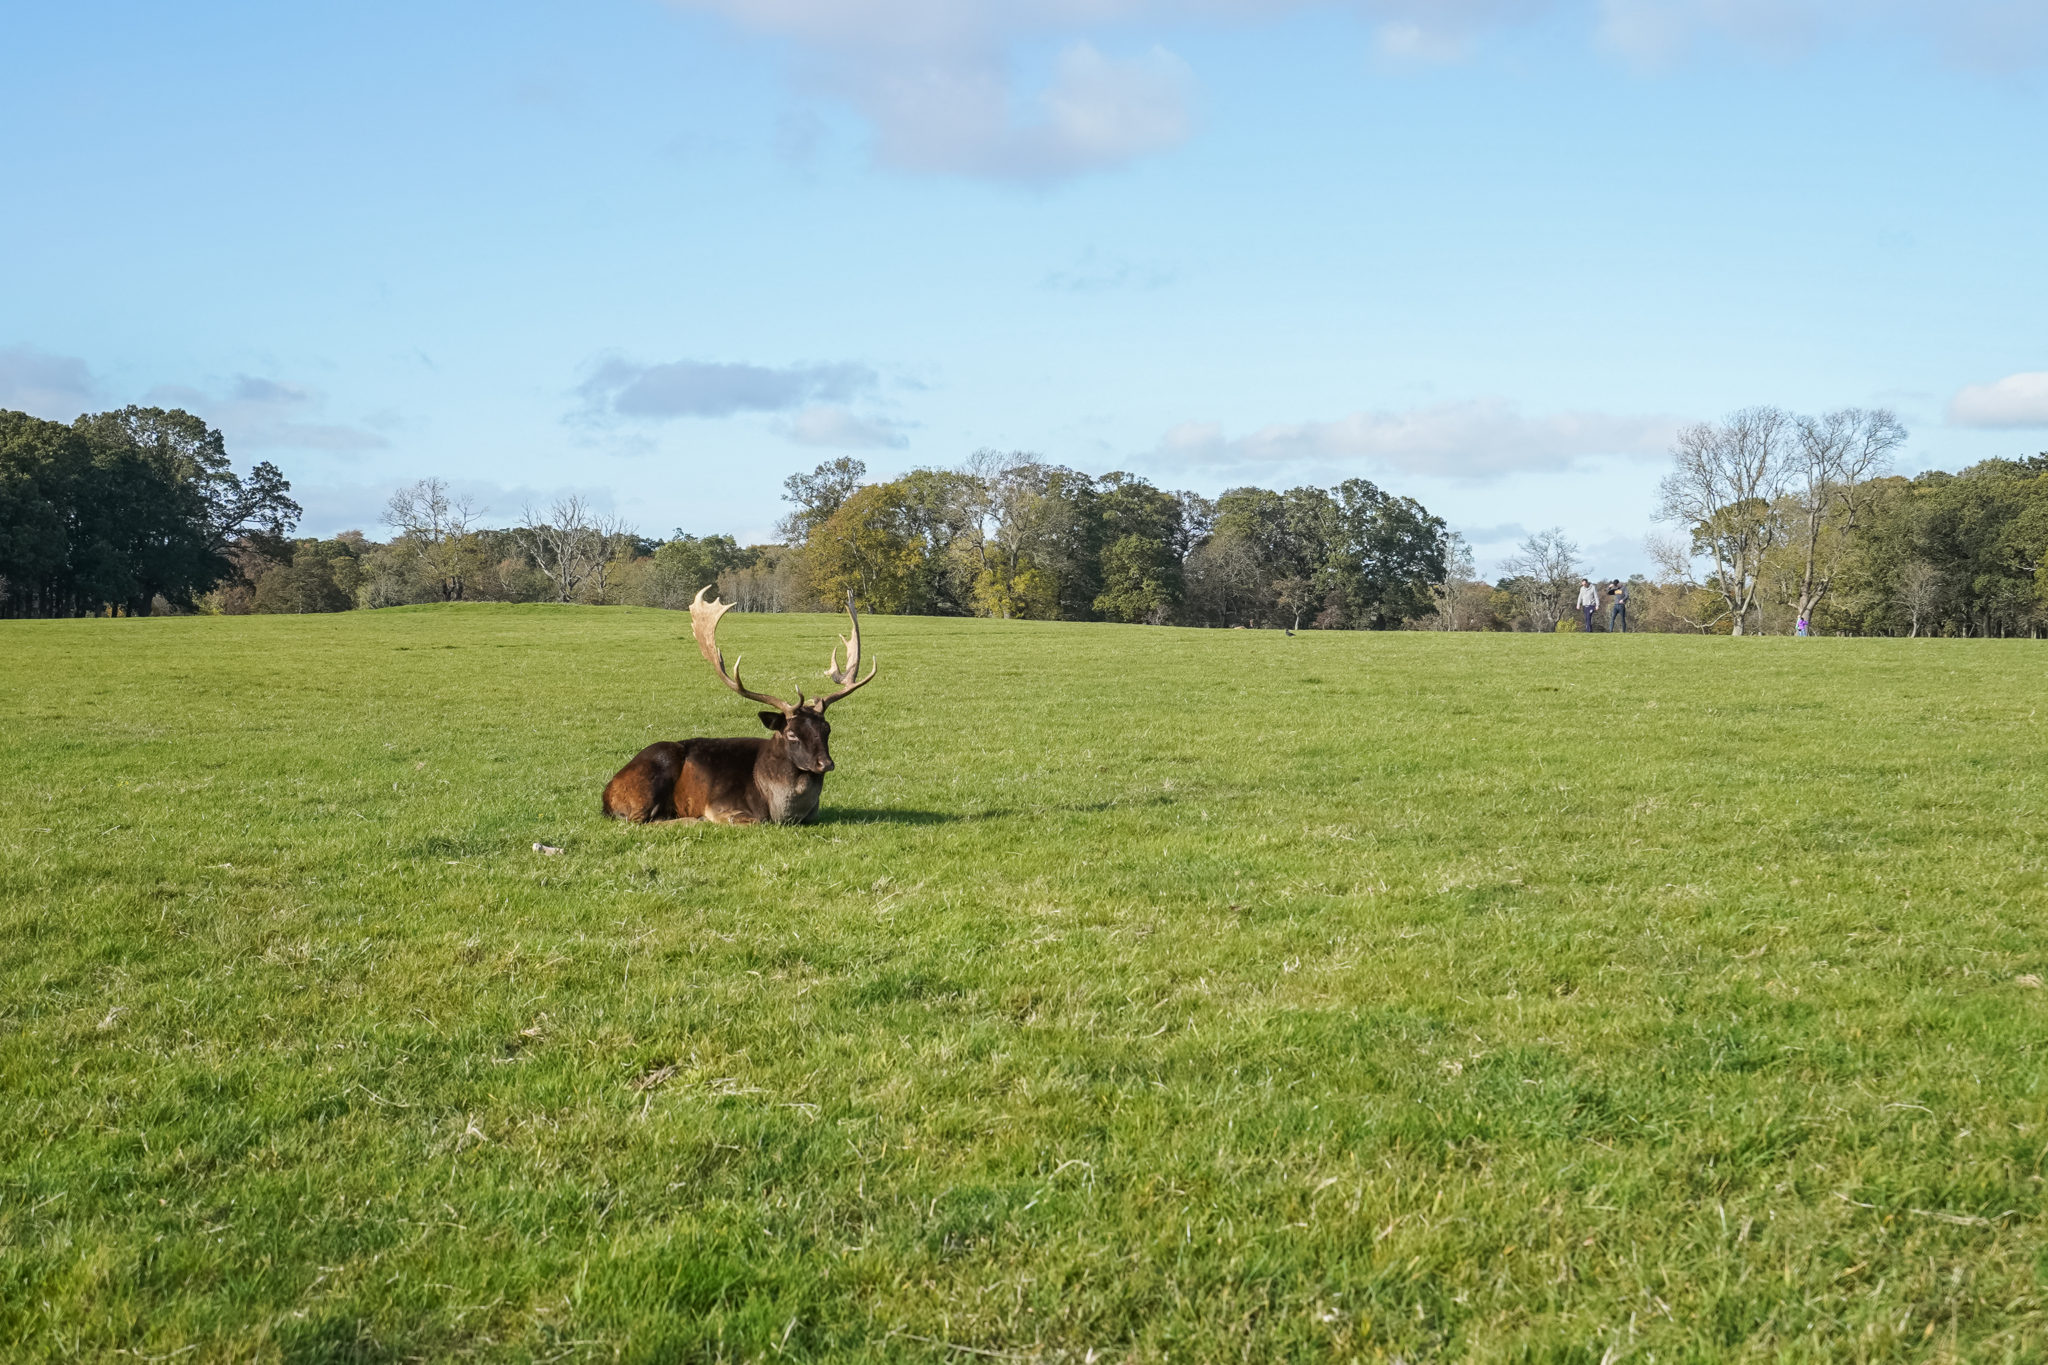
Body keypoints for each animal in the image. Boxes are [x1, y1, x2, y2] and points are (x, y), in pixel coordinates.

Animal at [601, 587, 877, 825]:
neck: (781, 811)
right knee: (639, 820)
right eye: (791, 733)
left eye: (827, 728)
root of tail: (606, 795)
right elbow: (754, 820)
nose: (825, 763)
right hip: (654, 772)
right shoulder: (721, 805)